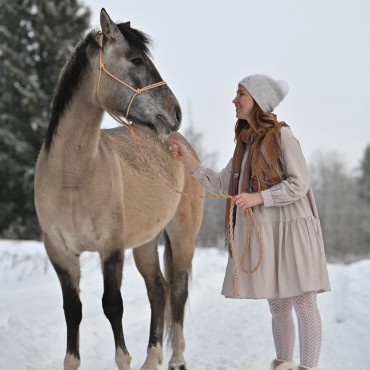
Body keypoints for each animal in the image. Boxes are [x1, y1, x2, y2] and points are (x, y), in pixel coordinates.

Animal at [33, 8, 204, 370]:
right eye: (136, 59)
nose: (175, 112)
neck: (73, 176)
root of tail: (184, 147)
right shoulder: (60, 252)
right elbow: (73, 310)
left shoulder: (111, 249)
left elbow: (113, 306)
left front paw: (124, 359)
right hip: (144, 244)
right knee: (159, 290)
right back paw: (151, 359)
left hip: (182, 235)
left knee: (178, 289)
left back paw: (176, 359)